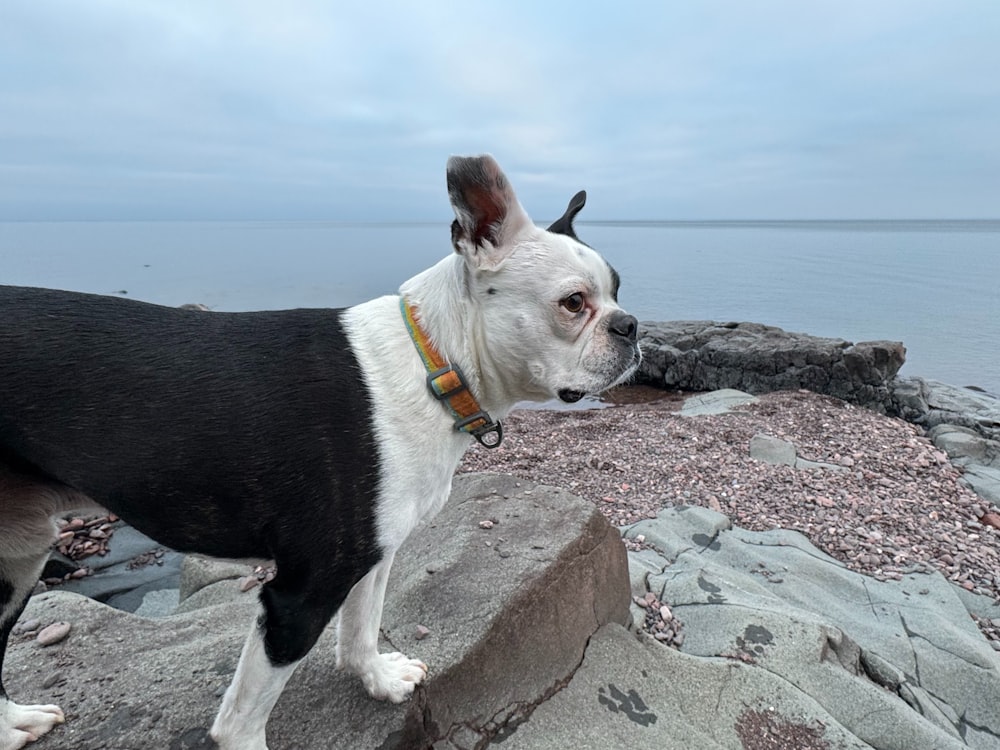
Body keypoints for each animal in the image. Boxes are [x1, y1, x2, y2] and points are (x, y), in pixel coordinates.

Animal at [0, 154, 640, 750]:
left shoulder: (373, 555)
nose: (631, 326)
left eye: (616, 293)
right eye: (574, 303)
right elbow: (243, 720)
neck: (435, 360)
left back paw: (13, 723)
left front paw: (379, 680)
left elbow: (361, 627)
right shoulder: (300, 595)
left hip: (20, 554)